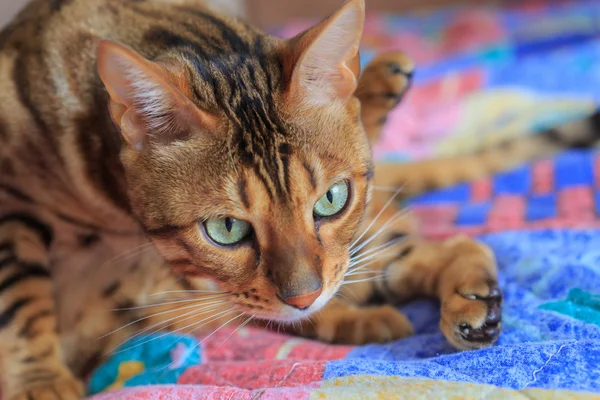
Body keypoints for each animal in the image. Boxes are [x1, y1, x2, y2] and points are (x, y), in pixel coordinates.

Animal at [1, 0, 600, 398]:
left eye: (332, 199)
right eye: (226, 229)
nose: (304, 295)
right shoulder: (13, 206)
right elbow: (21, 302)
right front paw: (41, 381)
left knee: (431, 249)